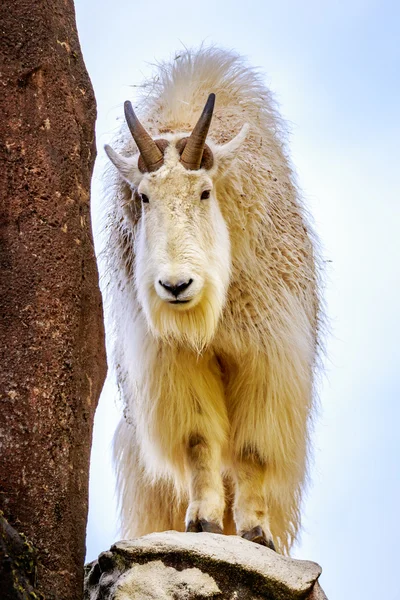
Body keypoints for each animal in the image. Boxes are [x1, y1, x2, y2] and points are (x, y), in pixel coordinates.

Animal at [103, 47, 322, 552]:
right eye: (144, 197)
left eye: (204, 192)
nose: (175, 286)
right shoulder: (174, 361)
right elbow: (199, 440)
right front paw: (201, 521)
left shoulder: (266, 354)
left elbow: (252, 449)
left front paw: (255, 532)